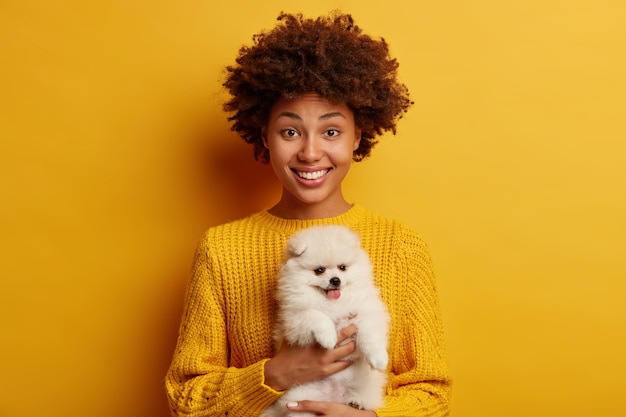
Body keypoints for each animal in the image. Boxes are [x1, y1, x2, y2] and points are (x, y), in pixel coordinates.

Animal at [260, 226, 388, 414]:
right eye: (319, 270)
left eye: (342, 268)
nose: (335, 280)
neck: (333, 302)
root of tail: (334, 396)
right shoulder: (294, 319)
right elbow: (315, 314)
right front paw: (328, 338)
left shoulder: (367, 311)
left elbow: (370, 335)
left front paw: (378, 358)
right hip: (302, 397)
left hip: (365, 384)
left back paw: (355, 402)